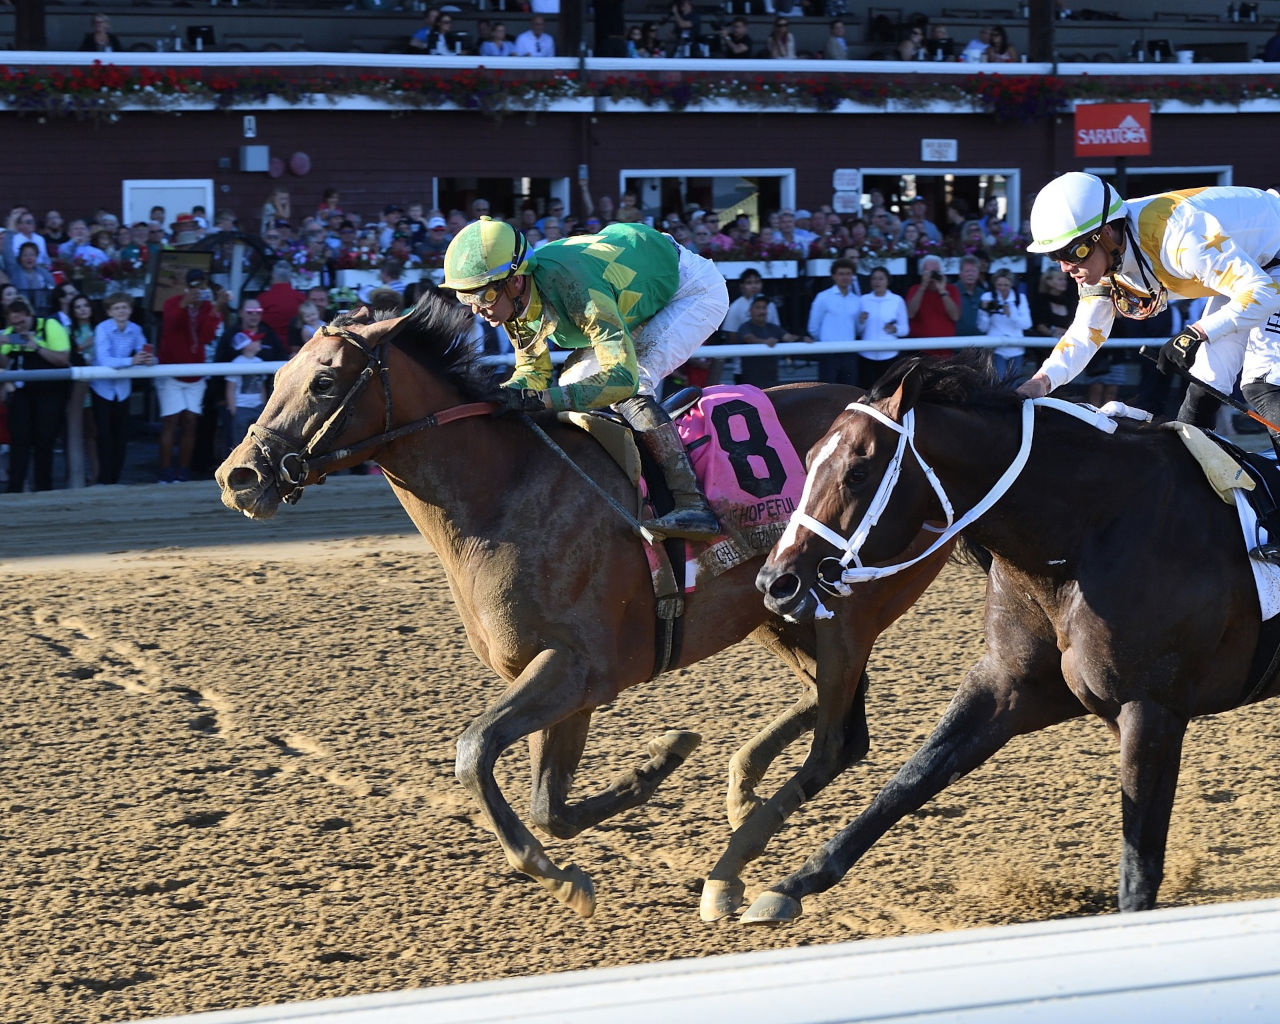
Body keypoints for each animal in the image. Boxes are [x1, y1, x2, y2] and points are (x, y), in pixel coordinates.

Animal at [212, 294, 952, 921]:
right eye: (277, 375)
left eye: (324, 382)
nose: (238, 476)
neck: (504, 493)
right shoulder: (559, 677)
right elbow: (550, 806)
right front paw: (660, 760)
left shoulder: (578, 666)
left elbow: (475, 751)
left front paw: (560, 874)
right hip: (777, 604)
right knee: (829, 703)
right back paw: (743, 787)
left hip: (846, 605)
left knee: (843, 735)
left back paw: (736, 859)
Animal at [752, 353, 1264, 921]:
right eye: (809, 456)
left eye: (857, 472)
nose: (775, 582)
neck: (1089, 536)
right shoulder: (1010, 683)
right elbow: (913, 778)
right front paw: (792, 882)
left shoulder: (1151, 708)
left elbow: (1139, 864)